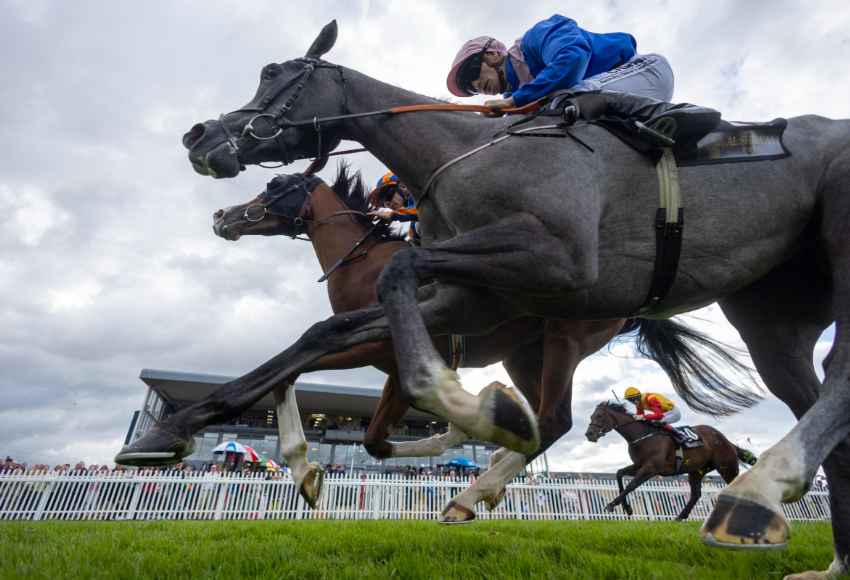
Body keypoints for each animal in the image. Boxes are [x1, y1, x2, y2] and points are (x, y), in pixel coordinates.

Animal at [584, 404, 756, 520]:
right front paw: (627, 508)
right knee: (695, 495)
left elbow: (631, 485)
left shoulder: (650, 468)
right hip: (696, 471)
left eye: (599, 416)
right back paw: (679, 517)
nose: (589, 434)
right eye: (591, 416)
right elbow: (619, 474)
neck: (643, 436)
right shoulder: (638, 465)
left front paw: (612, 504)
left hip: (726, 467)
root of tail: (726, 440)